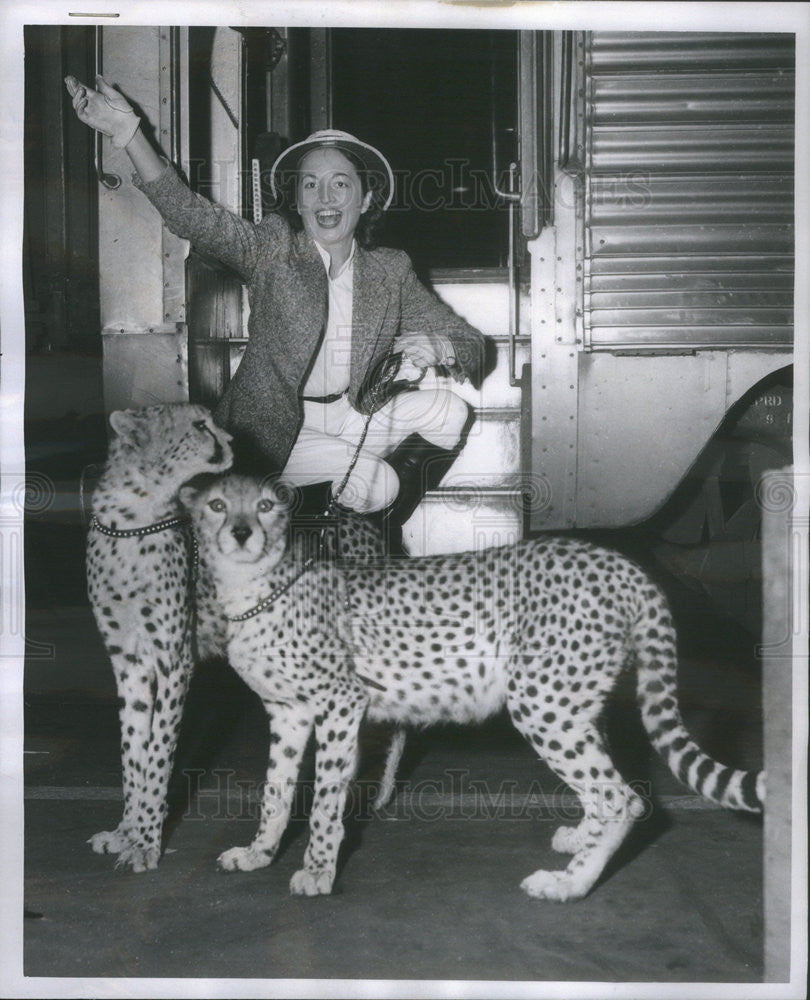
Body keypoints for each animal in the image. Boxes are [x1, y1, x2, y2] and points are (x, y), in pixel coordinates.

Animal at [89, 402, 234, 872]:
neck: (133, 518)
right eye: (200, 425)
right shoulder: (130, 665)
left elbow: (157, 754)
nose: (232, 440)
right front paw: (126, 832)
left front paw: (146, 842)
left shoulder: (174, 663)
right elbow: (132, 752)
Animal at [180, 472, 760, 904]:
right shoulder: (288, 712)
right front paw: (258, 853)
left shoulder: (341, 704)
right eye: (216, 505)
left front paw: (319, 871)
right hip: (575, 702)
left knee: (622, 798)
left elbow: (324, 797)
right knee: (609, 786)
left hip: (542, 702)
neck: (253, 587)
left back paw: (568, 884)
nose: (241, 533)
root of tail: (616, 563)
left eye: (265, 506)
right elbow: (275, 790)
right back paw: (579, 842)